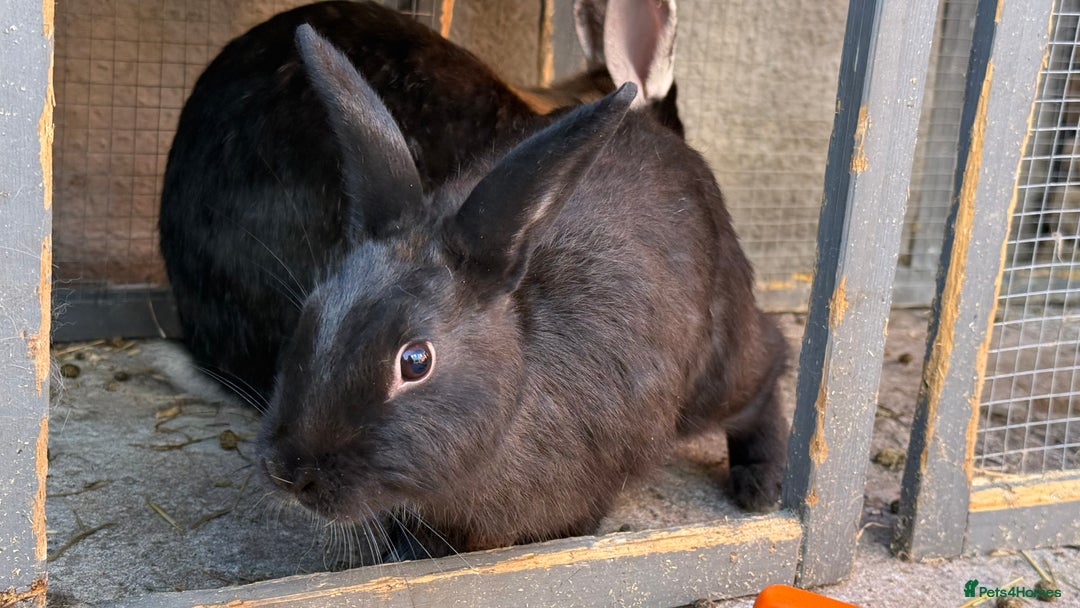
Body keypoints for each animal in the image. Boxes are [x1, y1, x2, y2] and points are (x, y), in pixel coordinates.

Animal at [257, 25, 788, 560]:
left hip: (717, 369)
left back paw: (761, 485)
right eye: (311, 312)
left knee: (768, 365)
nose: (292, 473)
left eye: (415, 361)